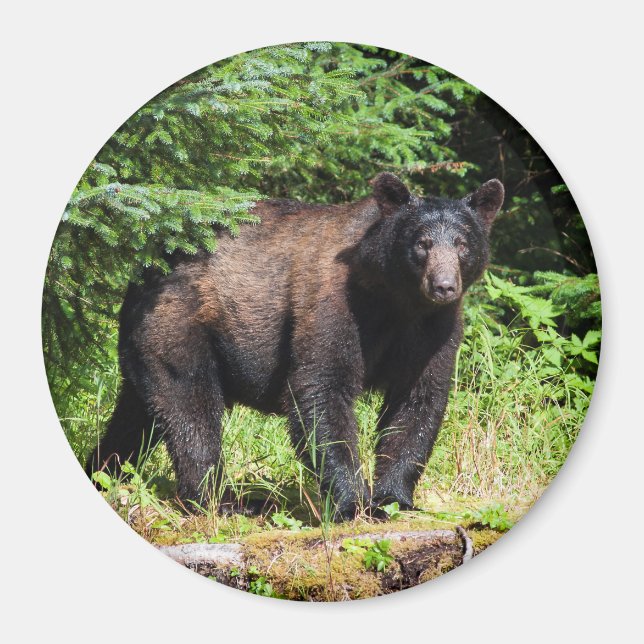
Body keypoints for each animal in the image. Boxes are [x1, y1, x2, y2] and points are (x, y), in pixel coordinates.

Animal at [86, 173, 504, 520]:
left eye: (462, 244)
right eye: (422, 243)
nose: (444, 286)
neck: (397, 300)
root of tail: (144, 269)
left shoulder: (434, 329)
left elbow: (417, 400)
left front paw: (393, 498)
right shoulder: (335, 303)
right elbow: (321, 389)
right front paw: (353, 504)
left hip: (147, 344)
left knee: (137, 415)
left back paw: (103, 471)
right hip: (179, 324)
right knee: (190, 406)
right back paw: (223, 501)